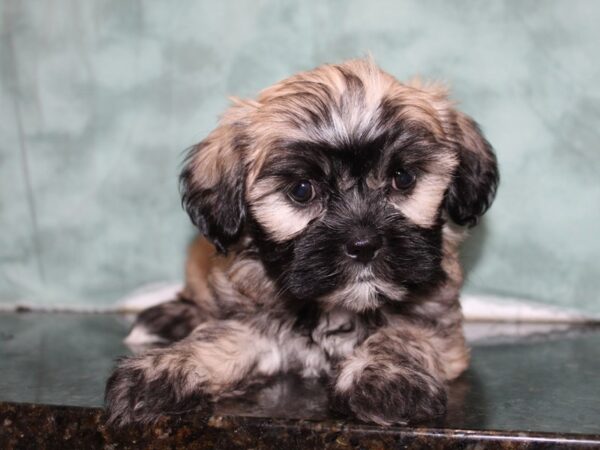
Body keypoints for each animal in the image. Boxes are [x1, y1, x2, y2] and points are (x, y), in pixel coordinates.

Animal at [105, 59, 500, 426]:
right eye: (302, 190)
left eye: (403, 178)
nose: (364, 244)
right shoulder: (255, 323)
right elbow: (218, 337)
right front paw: (163, 370)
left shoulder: (436, 324)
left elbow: (402, 335)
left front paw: (386, 376)